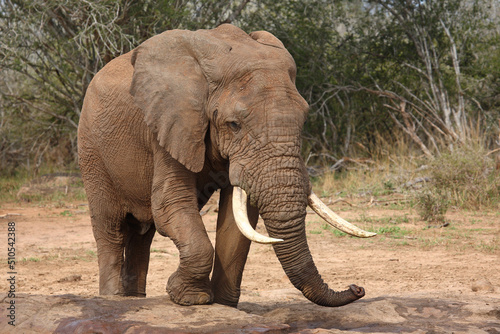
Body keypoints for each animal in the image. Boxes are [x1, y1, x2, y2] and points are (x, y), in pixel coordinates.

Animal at [78, 23, 376, 308]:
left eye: (303, 120)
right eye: (234, 125)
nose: (357, 288)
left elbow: (238, 220)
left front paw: (223, 306)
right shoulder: (170, 124)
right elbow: (170, 203)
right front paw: (191, 298)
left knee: (142, 235)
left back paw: (135, 299)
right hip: (92, 150)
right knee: (111, 228)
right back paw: (113, 298)